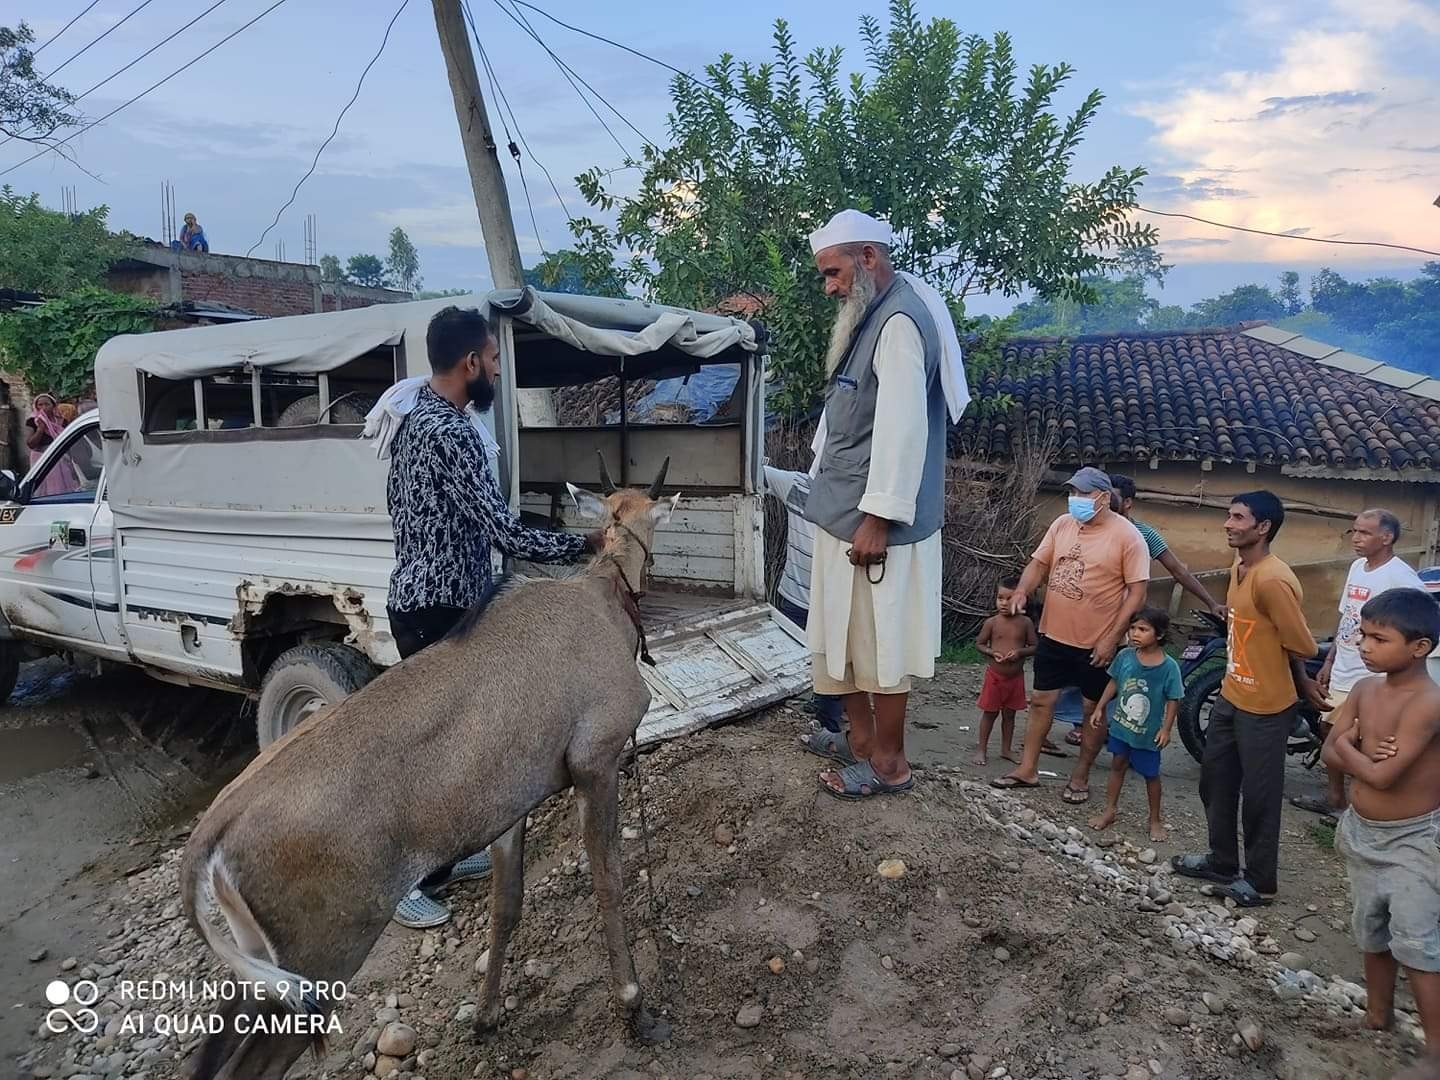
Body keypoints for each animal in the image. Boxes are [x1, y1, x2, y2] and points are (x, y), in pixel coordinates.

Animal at [178, 457, 679, 1080]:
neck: (605, 597)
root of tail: (211, 835)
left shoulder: (510, 804)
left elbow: (505, 905)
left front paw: (486, 1015)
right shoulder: (597, 762)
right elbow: (609, 883)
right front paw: (635, 1005)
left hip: (266, 970)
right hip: (324, 956)